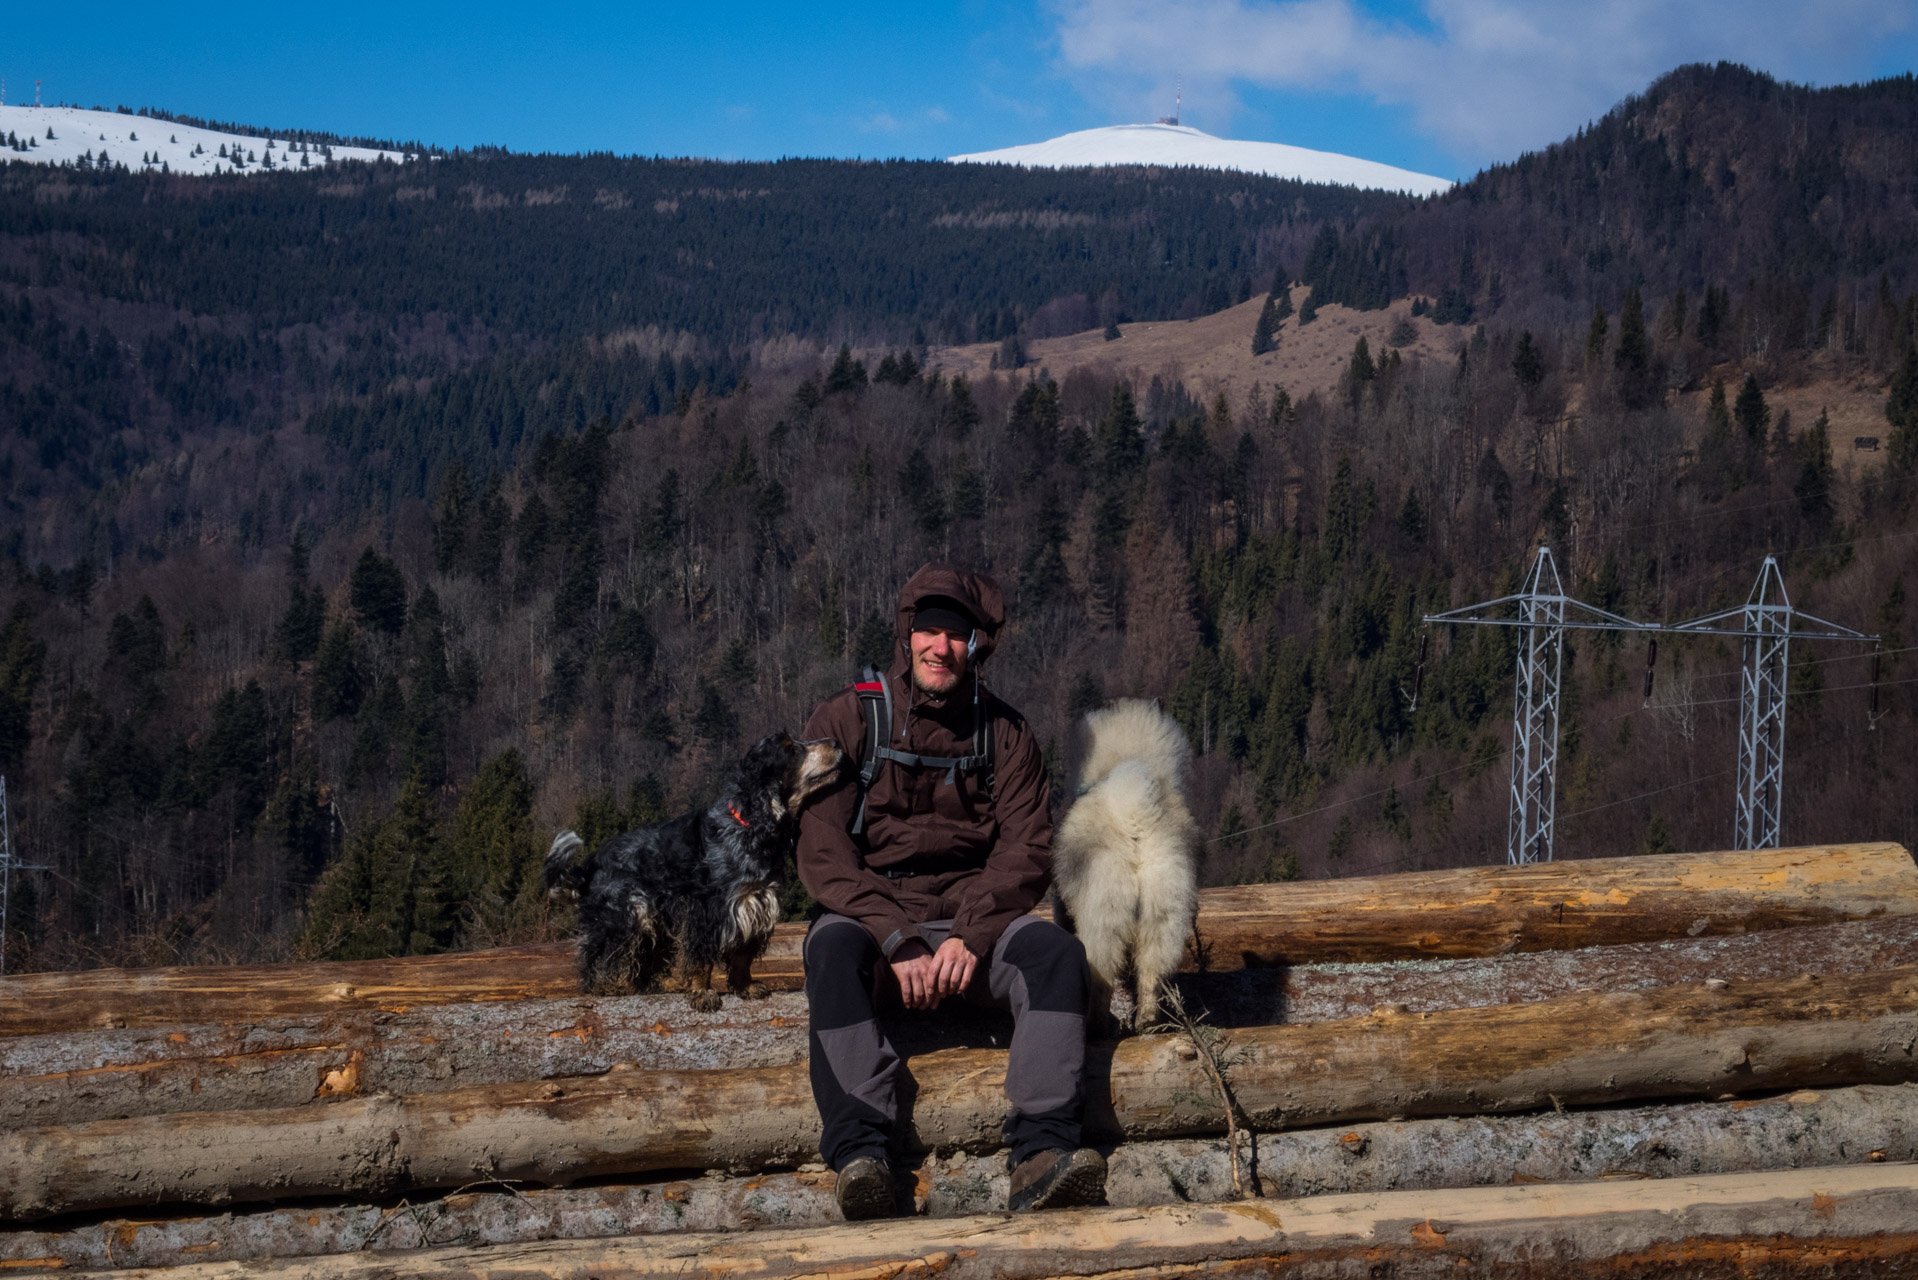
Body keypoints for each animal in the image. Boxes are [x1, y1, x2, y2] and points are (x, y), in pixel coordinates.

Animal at [540, 729, 840, 1013]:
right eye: (791, 750)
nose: (836, 742)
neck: (748, 827)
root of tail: (589, 867)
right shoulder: (708, 909)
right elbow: (702, 957)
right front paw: (702, 993)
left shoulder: (755, 902)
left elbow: (742, 955)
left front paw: (745, 986)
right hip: (628, 911)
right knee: (599, 955)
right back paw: (606, 986)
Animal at [1051, 702, 1196, 1028]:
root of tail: (1135, 817)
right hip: (1162, 911)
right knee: (1151, 973)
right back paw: (1147, 1021)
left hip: (1104, 914)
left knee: (1102, 974)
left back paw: (1098, 1023)